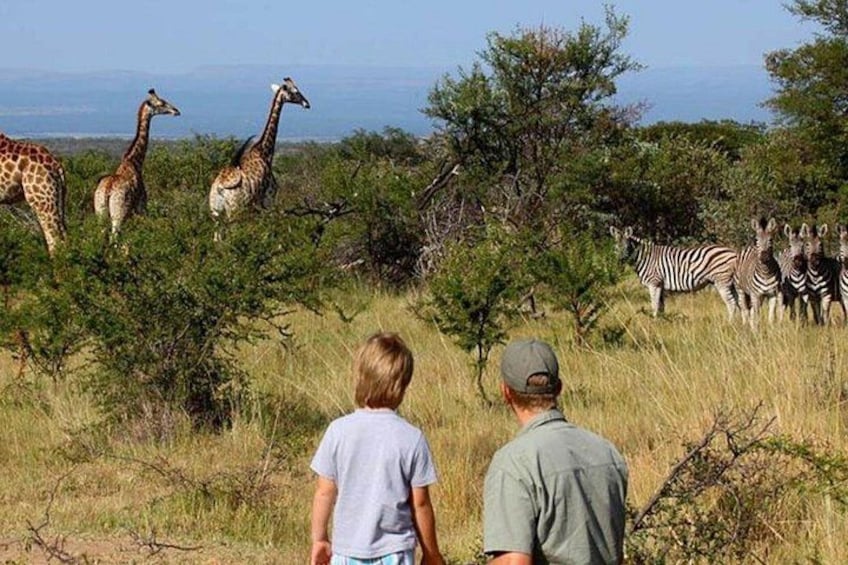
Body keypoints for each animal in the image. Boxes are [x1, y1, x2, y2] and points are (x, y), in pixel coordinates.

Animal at [94, 88, 180, 235]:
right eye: (161, 103)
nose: (176, 111)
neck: (134, 161)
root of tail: (107, 191)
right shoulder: (141, 208)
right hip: (118, 215)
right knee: (114, 236)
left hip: (100, 213)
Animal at [208, 77, 310, 227]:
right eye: (295, 91)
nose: (307, 104)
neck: (264, 151)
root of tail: (219, 188)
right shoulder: (268, 199)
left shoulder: (256, 205)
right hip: (234, 210)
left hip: (215, 212)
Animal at [609, 226, 739, 319]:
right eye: (615, 247)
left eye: (626, 246)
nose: (619, 261)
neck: (645, 258)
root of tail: (734, 252)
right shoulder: (660, 284)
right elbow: (661, 306)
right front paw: (662, 322)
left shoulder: (654, 283)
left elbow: (654, 305)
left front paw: (653, 323)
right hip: (731, 283)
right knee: (738, 303)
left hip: (722, 281)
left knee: (731, 303)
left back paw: (729, 324)